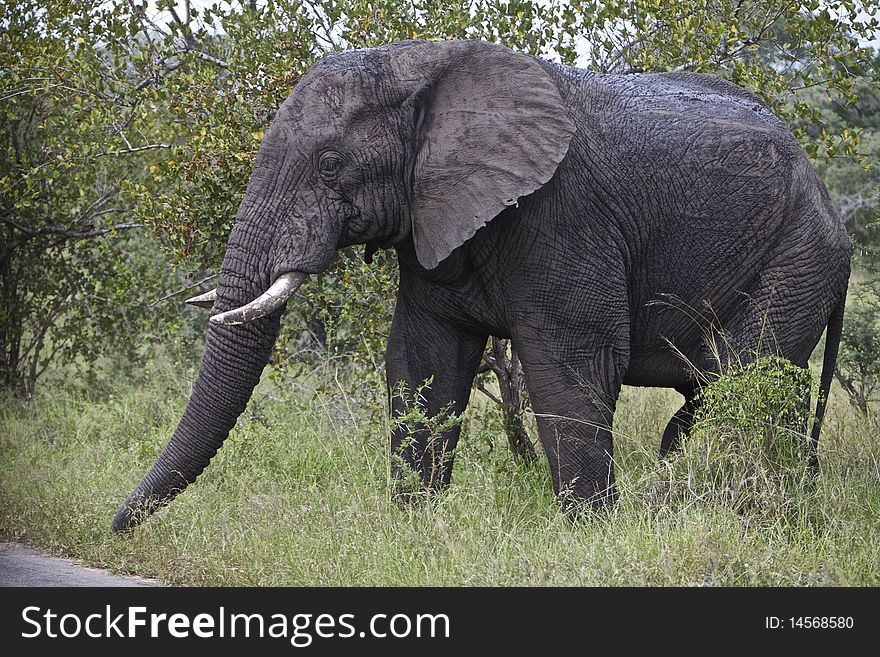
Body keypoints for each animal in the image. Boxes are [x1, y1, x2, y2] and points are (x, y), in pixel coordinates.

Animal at [110, 37, 844, 532]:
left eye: (329, 166)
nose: (114, 525)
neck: (426, 66)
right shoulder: (430, 221)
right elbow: (424, 362)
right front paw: (414, 528)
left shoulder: (564, 217)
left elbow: (570, 367)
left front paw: (592, 535)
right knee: (717, 399)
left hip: (797, 255)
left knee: (742, 382)